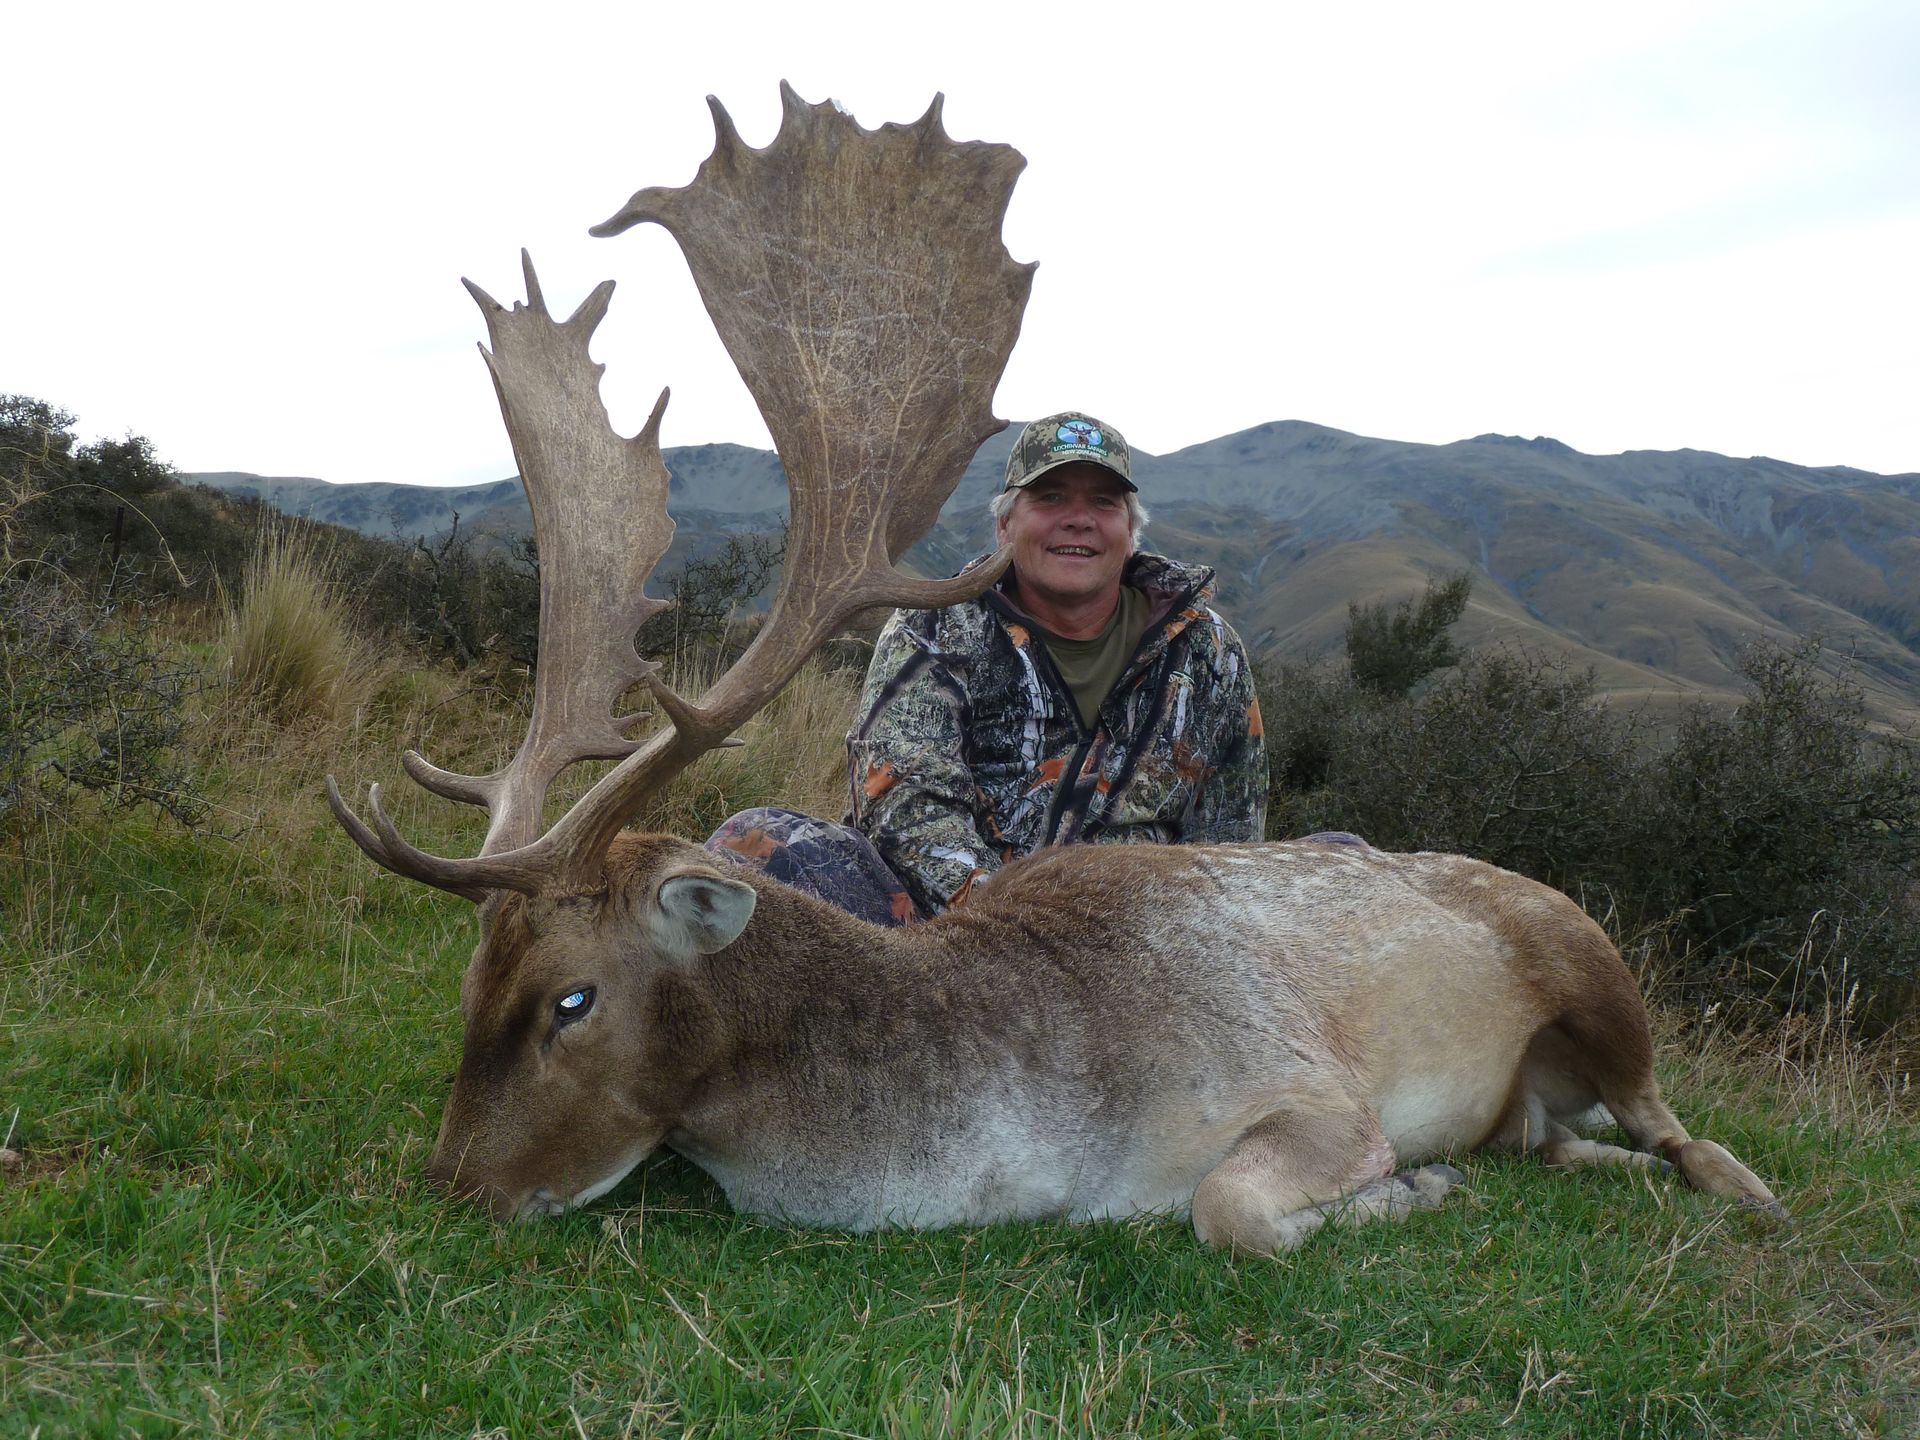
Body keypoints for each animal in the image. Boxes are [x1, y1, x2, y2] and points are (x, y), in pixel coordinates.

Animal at [327, 86, 1783, 1252]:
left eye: (571, 998)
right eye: (471, 982)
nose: (456, 1189)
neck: (1047, 1131)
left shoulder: (1312, 1094)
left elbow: (1230, 1207)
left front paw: (1408, 1190)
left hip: (1596, 965)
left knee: (1673, 1123)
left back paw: (1735, 1187)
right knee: (1560, 1135)